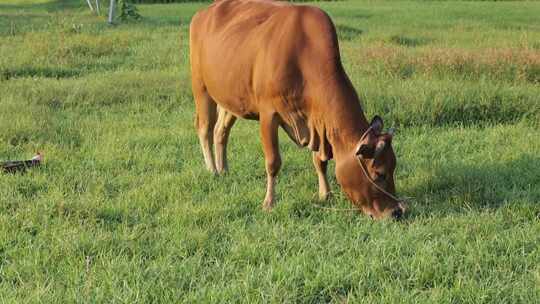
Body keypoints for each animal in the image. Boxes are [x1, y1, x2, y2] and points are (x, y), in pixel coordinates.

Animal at [190, 0, 404, 218]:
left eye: (393, 167)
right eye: (379, 173)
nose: (396, 211)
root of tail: (203, 13)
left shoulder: (317, 122)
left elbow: (320, 161)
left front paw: (325, 194)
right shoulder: (268, 114)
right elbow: (273, 162)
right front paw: (269, 203)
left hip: (230, 98)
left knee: (221, 131)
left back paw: (224, 169)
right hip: (201, 87)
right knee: (205, 128)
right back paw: (212, 170)